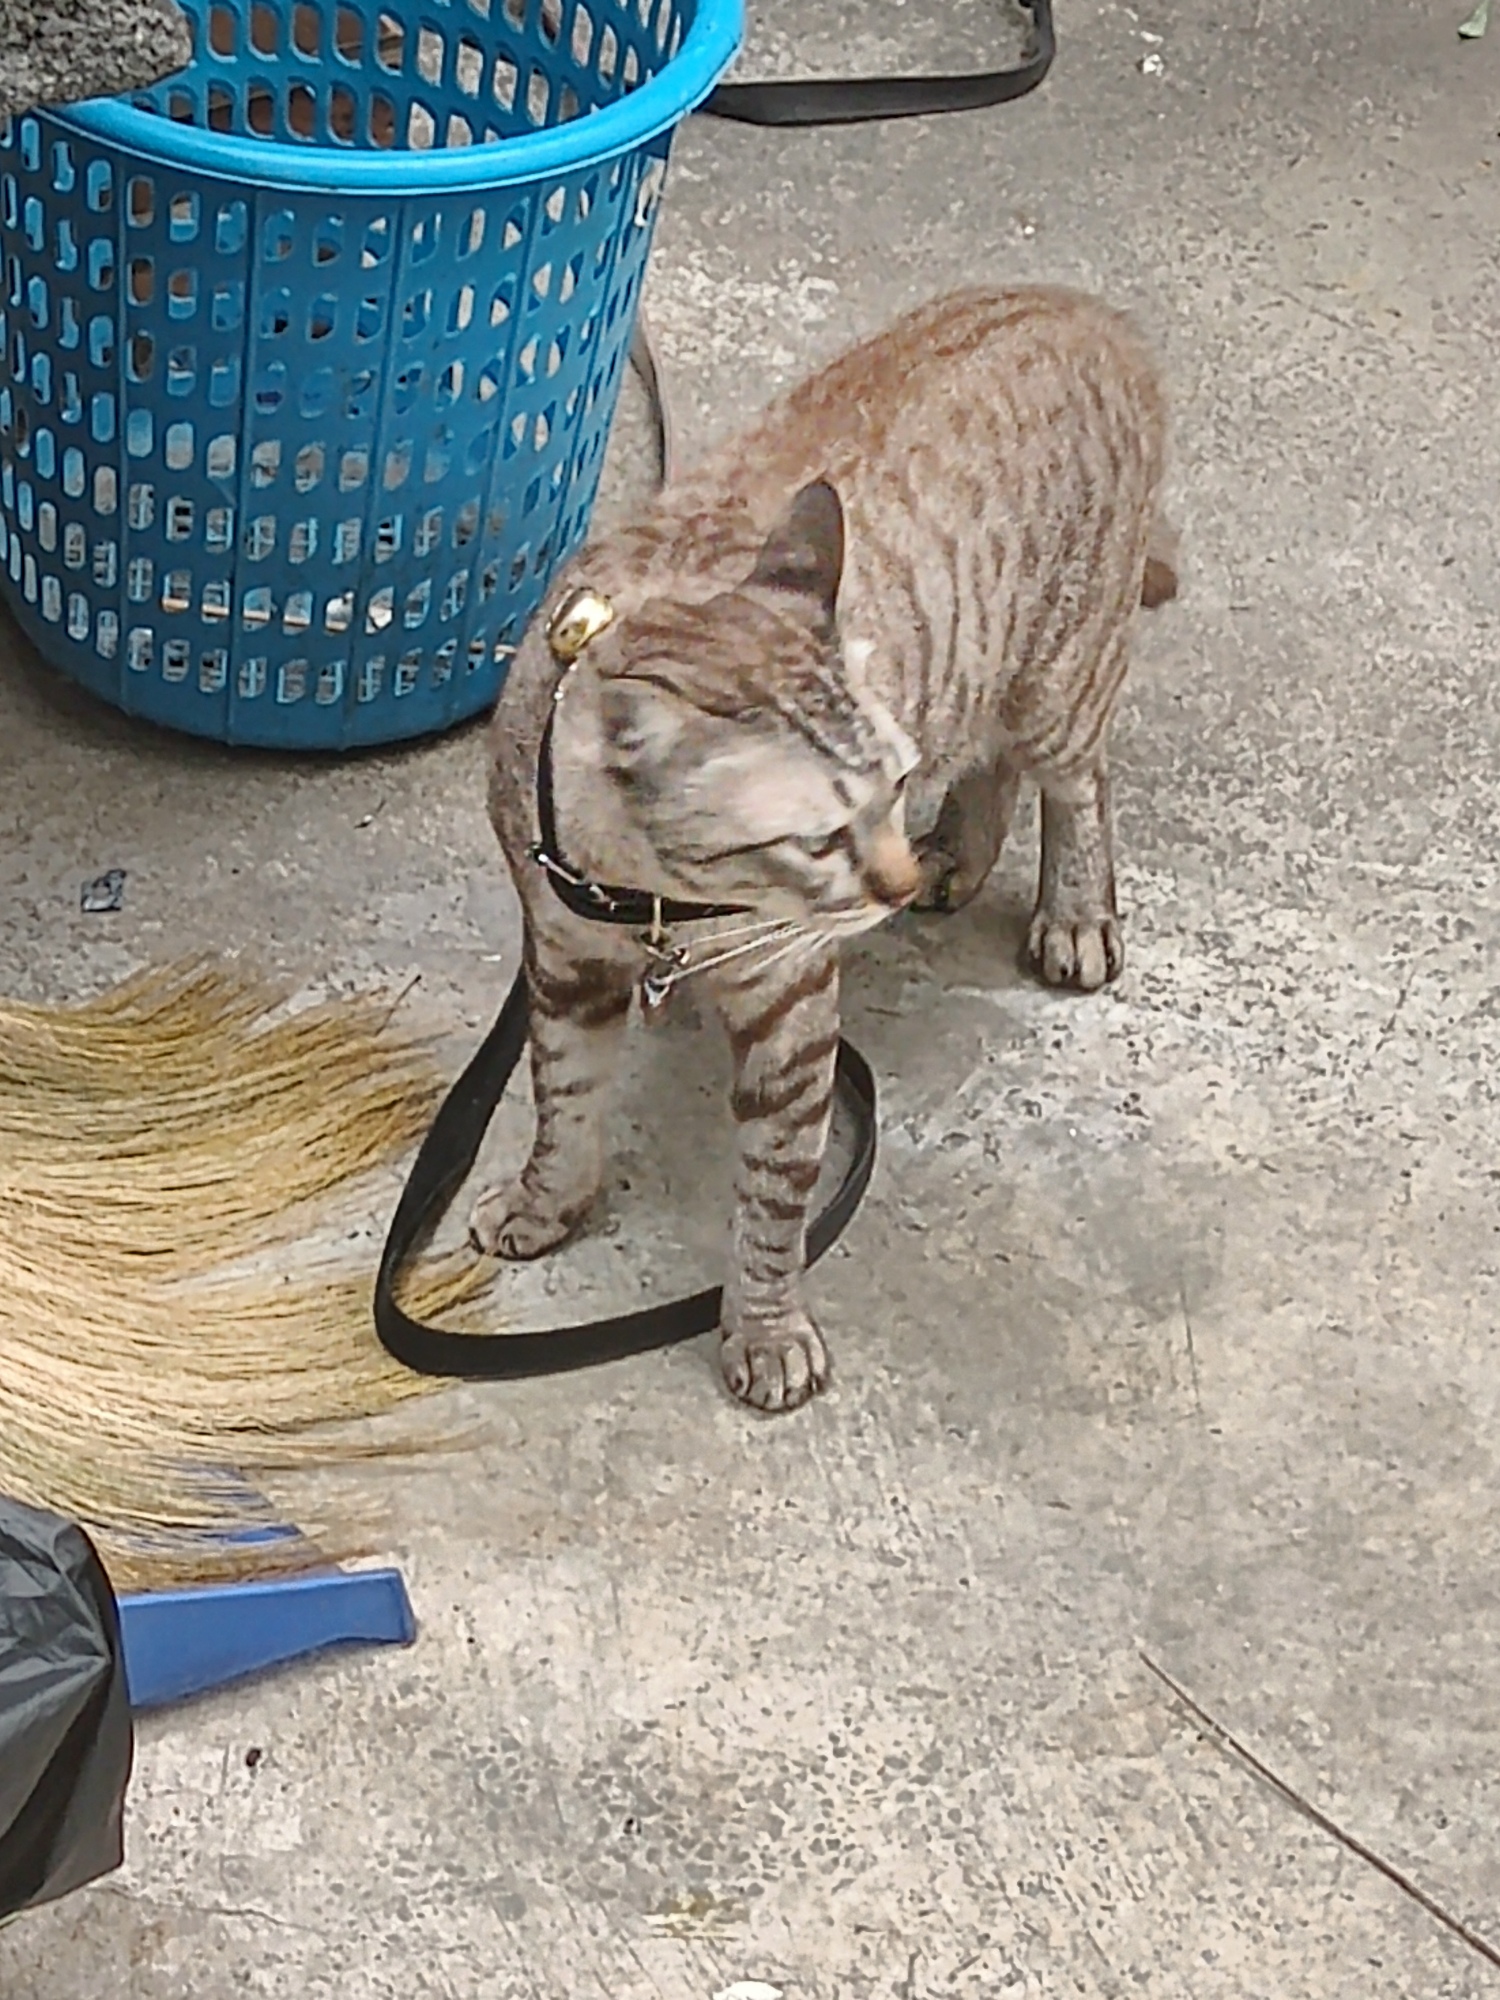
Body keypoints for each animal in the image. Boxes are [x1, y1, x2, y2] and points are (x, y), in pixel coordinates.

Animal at [472, 285, 1175, 1413]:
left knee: (1075, 781)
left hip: (1058, 679)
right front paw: (551, 1202)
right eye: (817, 835)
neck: (649, 903)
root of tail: (1085, 304)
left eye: (889, 788)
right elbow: (564, 1097)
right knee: (992, 762)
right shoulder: (565, 960)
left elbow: (774, 1198)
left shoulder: (793, 1007)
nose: (888, 875)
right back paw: (959, 856)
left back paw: (1070, 913)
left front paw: (765, 1330)